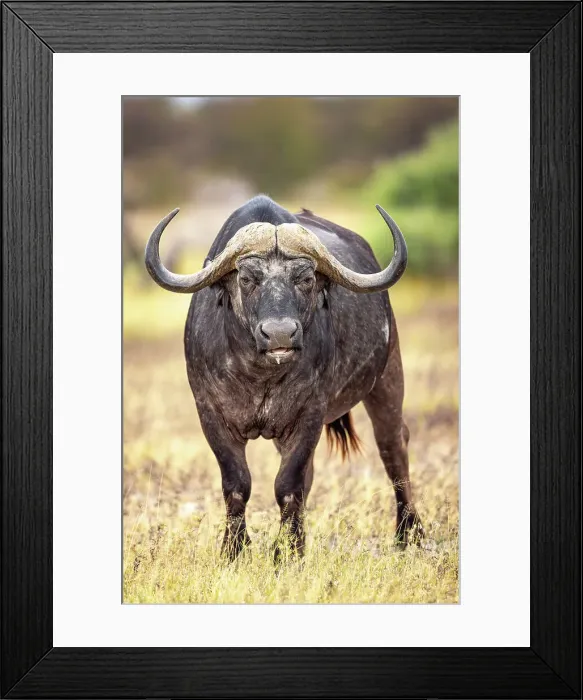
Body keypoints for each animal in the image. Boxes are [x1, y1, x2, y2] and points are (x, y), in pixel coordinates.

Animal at [145, 195, 424, 562]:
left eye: (305, 279)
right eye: (247, 279)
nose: (279, 334)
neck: (260, 375)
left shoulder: (309, 415)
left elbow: (288, 484)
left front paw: (288, 552)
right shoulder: (210, 413)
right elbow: (237, 483)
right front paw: (235, 550)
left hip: (388, 377)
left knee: (393, 448)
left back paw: (408, 534)